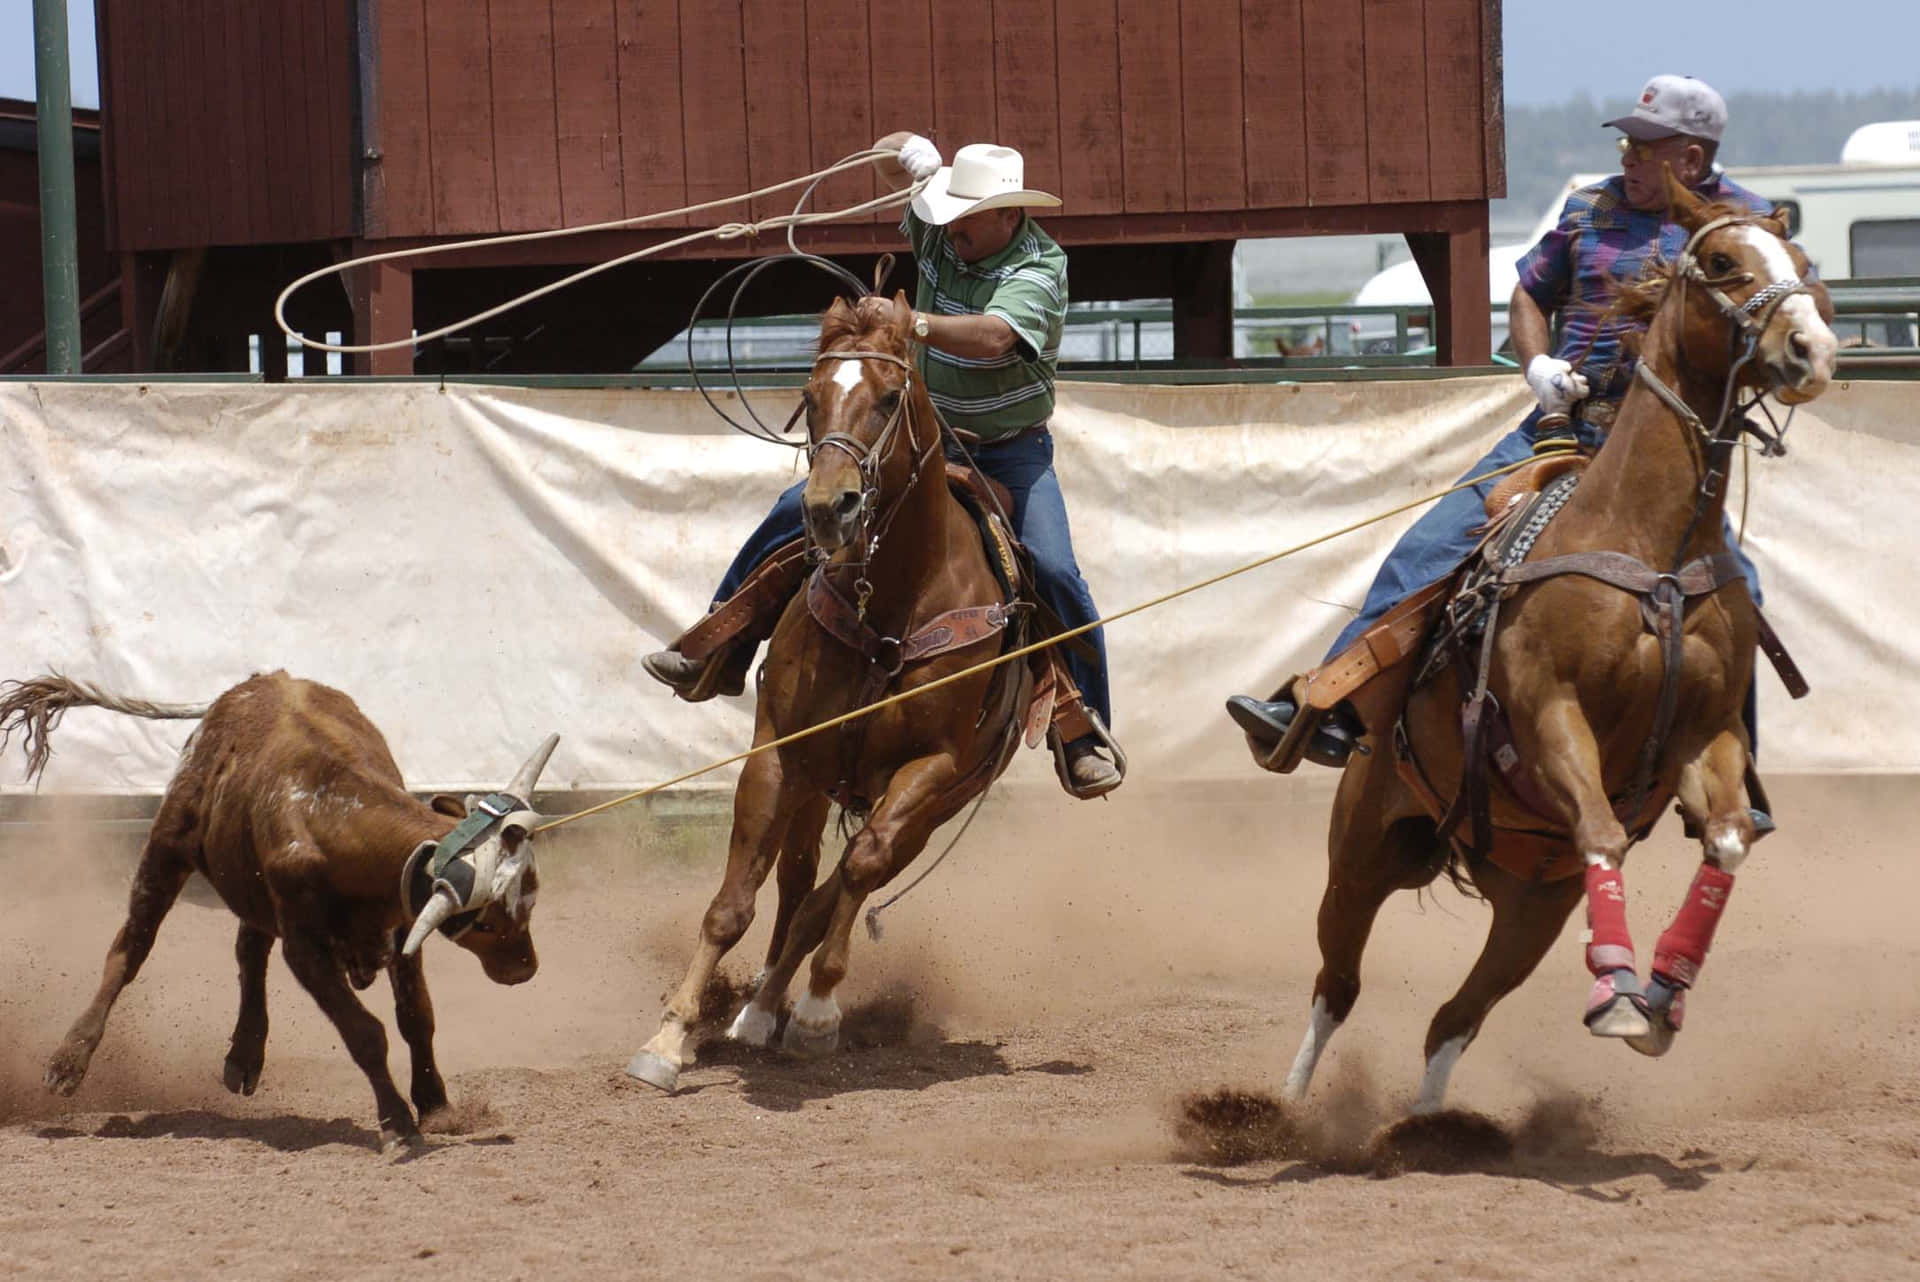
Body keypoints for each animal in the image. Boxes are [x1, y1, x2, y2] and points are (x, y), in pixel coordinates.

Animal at [629, 293, 1029, 1090]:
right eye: (810, 398)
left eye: (889, 397)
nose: (828, 508)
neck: (892, 602)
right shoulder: (781, 753)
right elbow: (734, 904)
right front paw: (669, 1036)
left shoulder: (933, 768)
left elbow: (857, 873)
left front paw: (816, 1013)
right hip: (818, 783)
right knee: (799, 877)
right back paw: (756, 1008)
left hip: (940, 804)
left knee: (841, 882)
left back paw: (781, 1006)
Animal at [1282, 175, 1835, 1113]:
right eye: (1725, 262)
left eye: (1799, 260)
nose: (1814, 350)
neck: (1650, 546)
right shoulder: (1550, 711)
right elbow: (1605, 830)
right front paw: (1618, 992)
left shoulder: (1705, 734)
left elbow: (1726, 837)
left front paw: (1660, 995)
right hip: (1362, 848)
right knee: (1335, 985)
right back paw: (1283, 1107)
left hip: (1533, 901)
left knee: (1455, 1016)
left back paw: (1429, 1126)